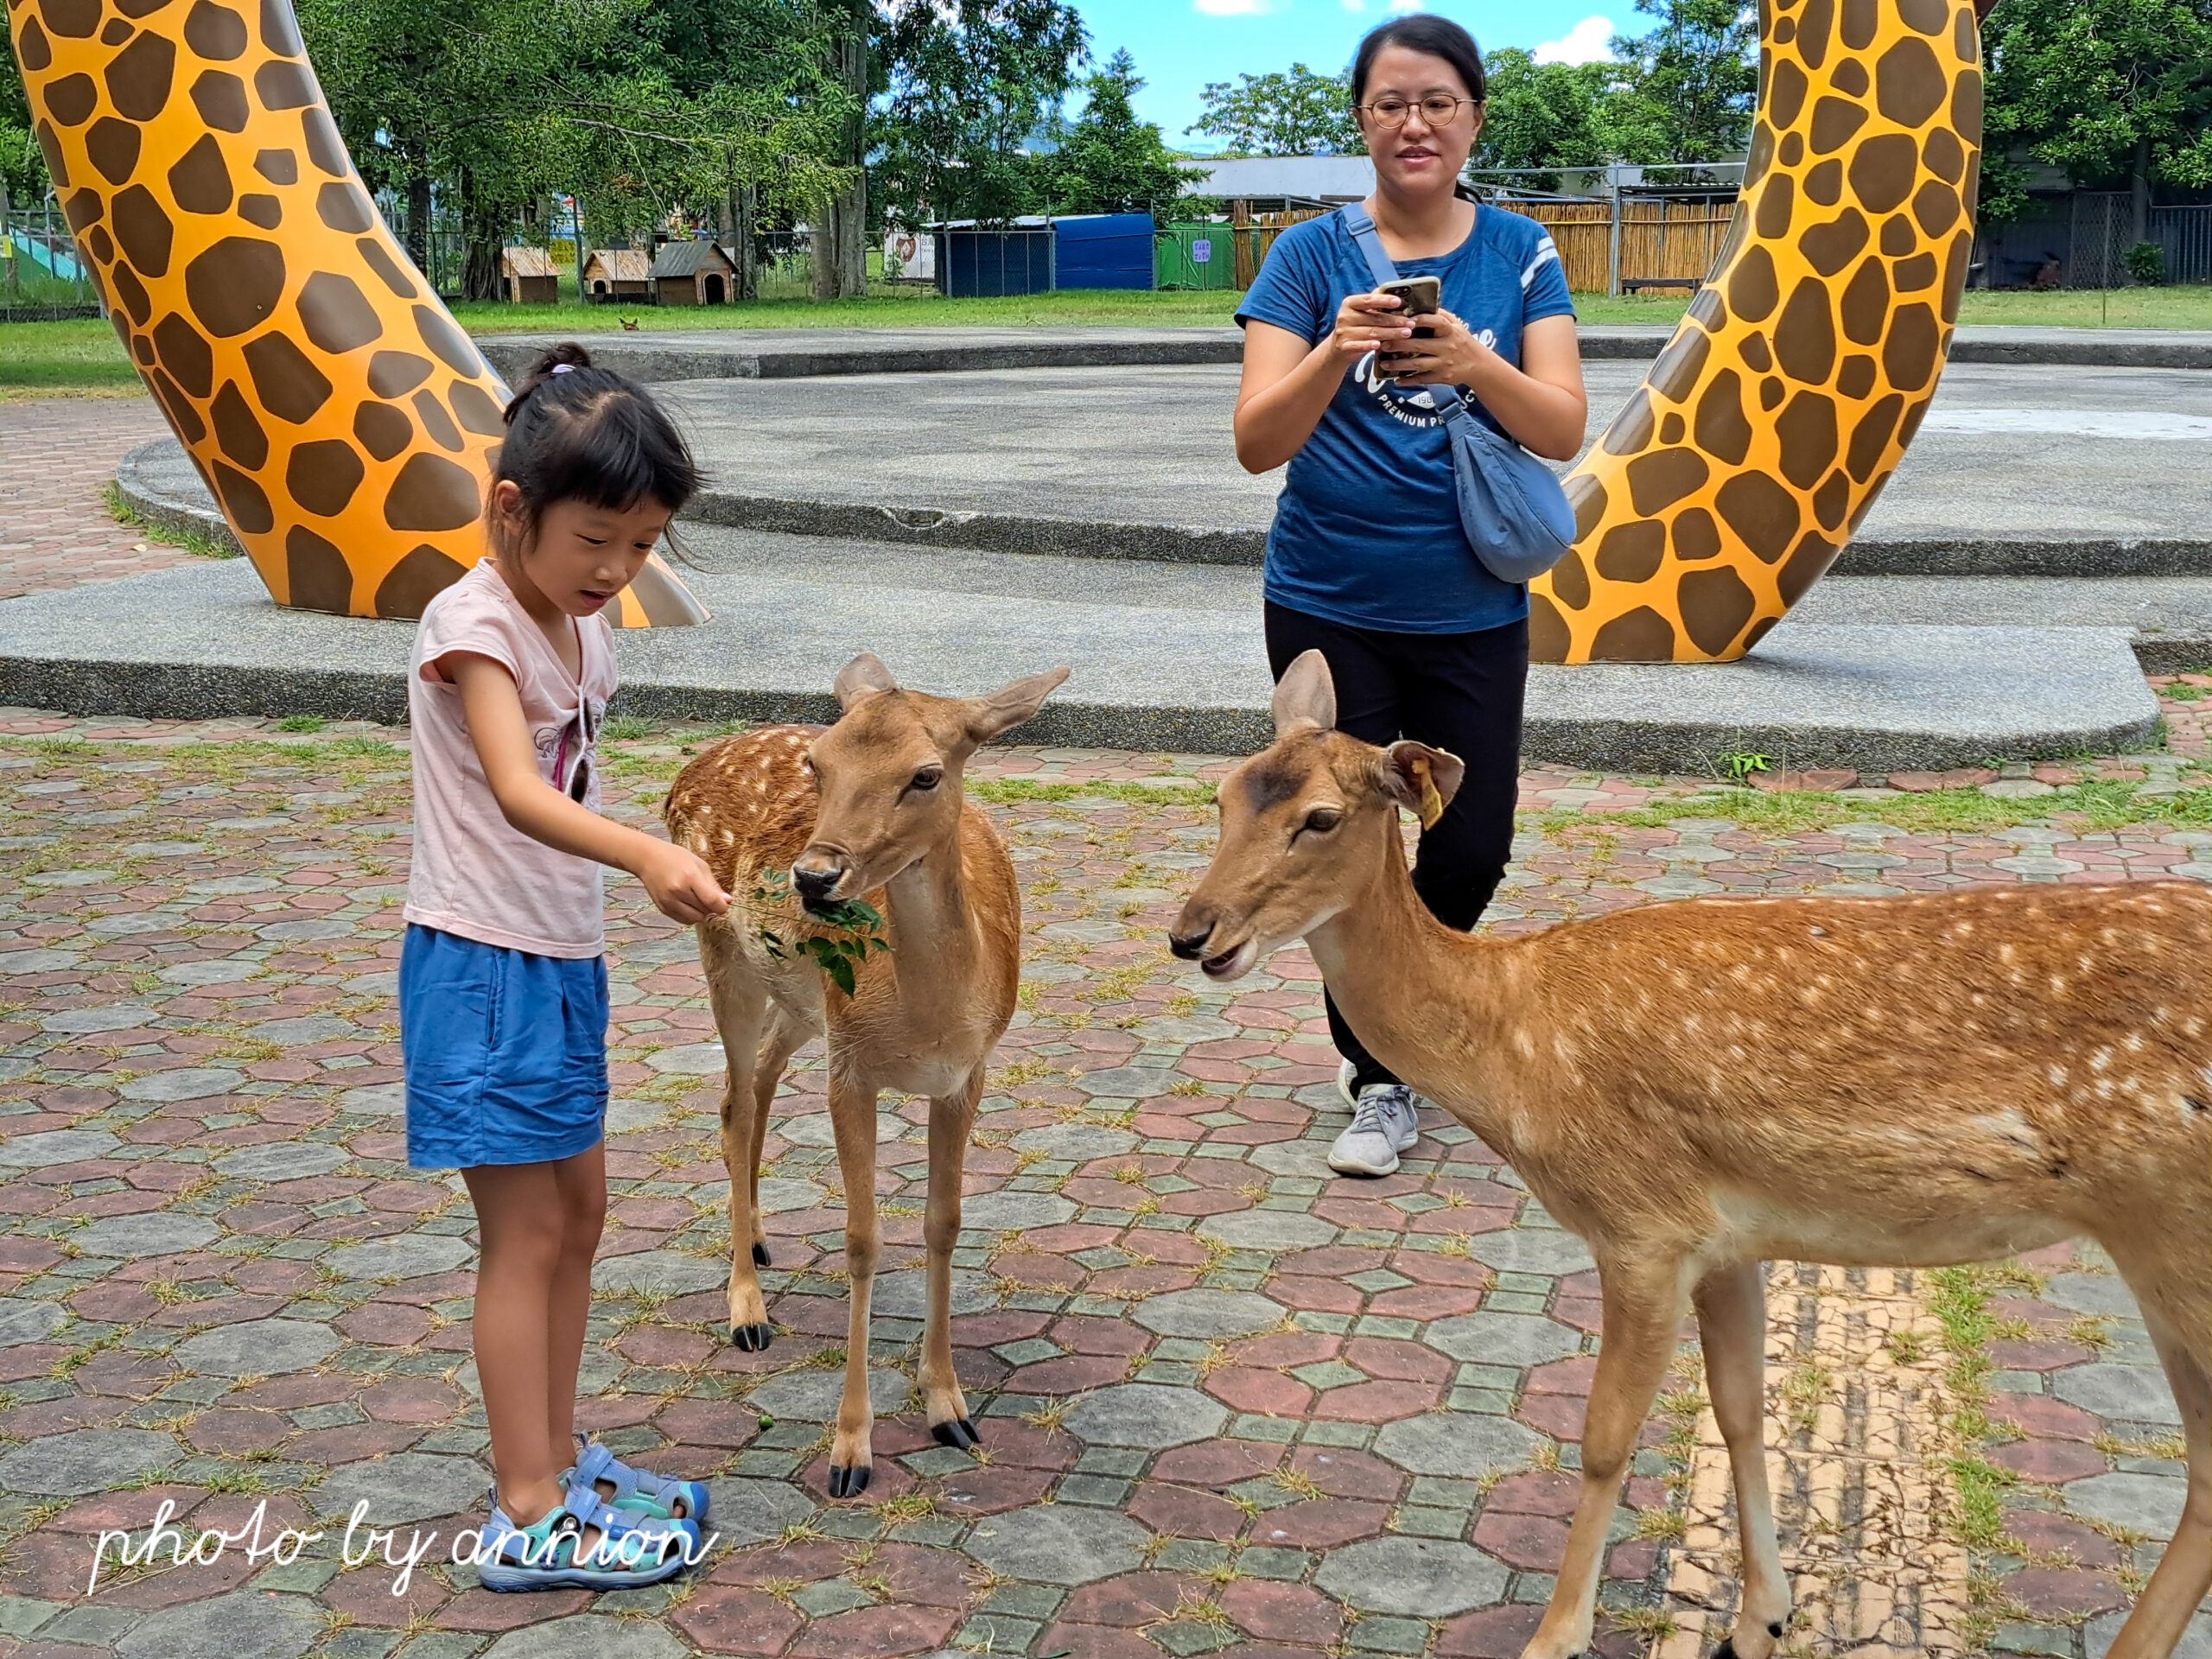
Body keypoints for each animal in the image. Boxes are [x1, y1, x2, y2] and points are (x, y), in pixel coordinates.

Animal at [658, 654, 1065, 1503]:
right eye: (821, 764)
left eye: (927, 774)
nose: (814, 877)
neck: (931, 1019)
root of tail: (688, 770)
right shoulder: (851, 1071)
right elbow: (861, 1239)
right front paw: (851, 1450)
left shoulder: (968, 1073)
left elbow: (944, 1223)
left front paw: (948, 1406)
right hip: (722, 948)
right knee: (733, 1099)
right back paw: (746, 1308)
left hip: (801, 1002)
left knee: (764, 1076)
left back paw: (760, 1241)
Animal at [1176, 654, 2212, 1659]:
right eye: (1221, 797)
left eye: (1320, 818)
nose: (1194, 934)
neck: (1514, 1043)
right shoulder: (1729, 1237)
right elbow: (1739, 1407)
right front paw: (1761, 1618)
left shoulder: (1643, 1224)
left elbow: (1604, 1435)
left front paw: (1555, 1637)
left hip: (2175, 1235)